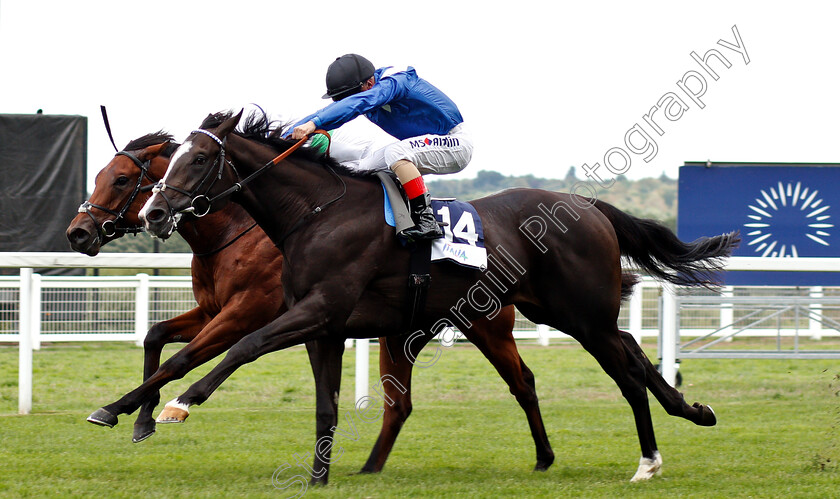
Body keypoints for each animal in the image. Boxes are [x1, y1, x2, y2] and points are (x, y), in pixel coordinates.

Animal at [65, 127, 552, 474]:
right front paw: (140, 416)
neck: (238, 230)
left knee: (523, 382)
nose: (78, 233)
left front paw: (140, 410)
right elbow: (155, 336)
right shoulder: (212, 310)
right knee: (400, 404)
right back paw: (369, 468)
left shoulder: (245, 314)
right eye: (100, 176)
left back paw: (543, 456)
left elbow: (181, 359)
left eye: (122, 179)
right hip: (399, 333)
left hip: (485, 324)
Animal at [138, 111, 736, 482]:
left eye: (197, 160)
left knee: (626, 372)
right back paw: (690, 412)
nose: (153, 213)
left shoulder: (313, 310)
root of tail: (590, 207)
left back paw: (649, 460)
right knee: (627, 351)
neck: (317, 213)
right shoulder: (322, 325)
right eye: (170, 160)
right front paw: (317, 477)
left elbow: (240, 348)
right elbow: (325, 404)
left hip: (580, 316)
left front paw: (177, 404)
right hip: (550, 312)